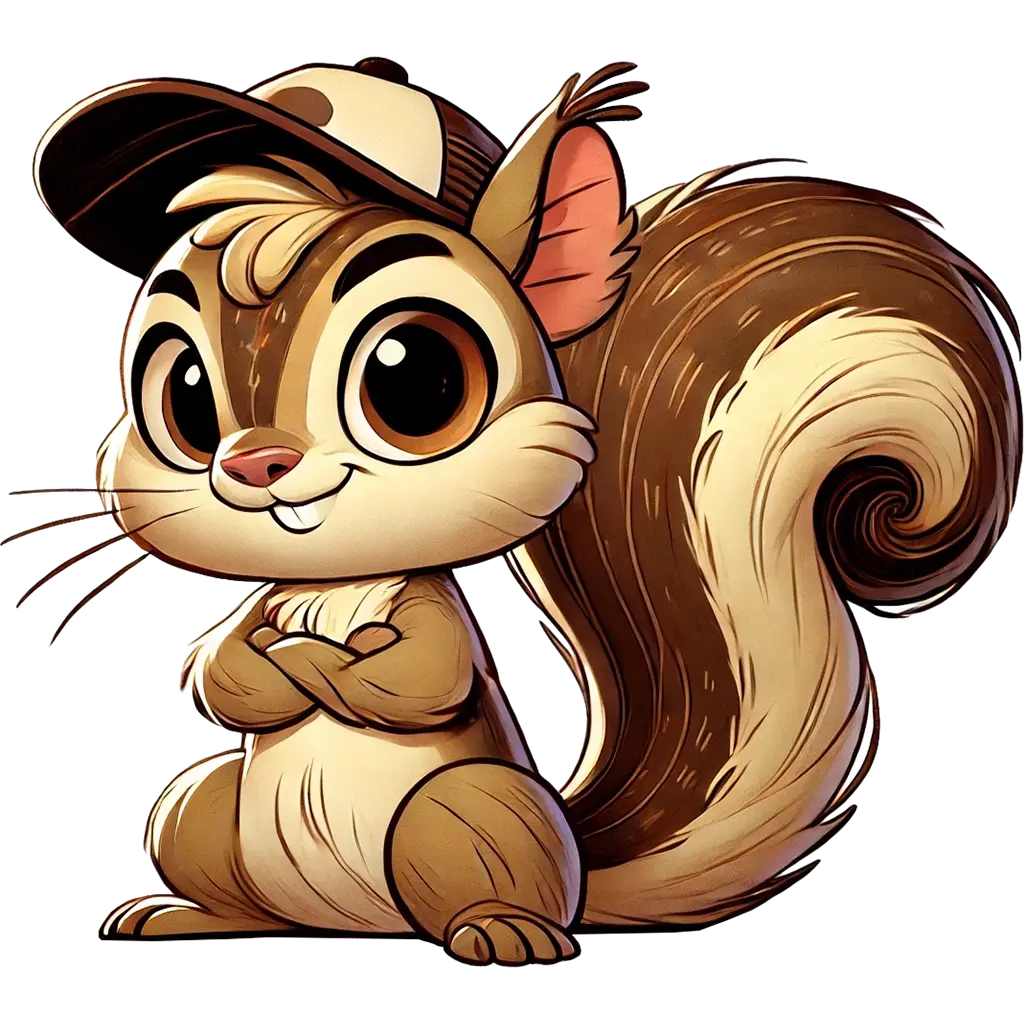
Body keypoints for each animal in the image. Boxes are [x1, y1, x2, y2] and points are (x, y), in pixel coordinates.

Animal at [18, 59, 1022, 963]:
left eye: (415, 375)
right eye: (183, 392)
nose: (255, 462)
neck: (334, 588)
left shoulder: (436, 623)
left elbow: (417, 678)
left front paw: (317, 659)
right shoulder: (257, 612)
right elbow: (223, 670)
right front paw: (276, 658)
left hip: (467, 809)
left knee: (472, 872)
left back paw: (501, 930)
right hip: (197, 807)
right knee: (218, 837)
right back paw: (187, 916)